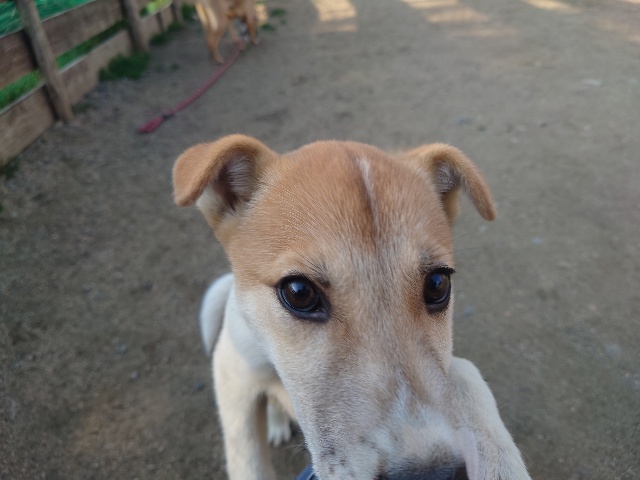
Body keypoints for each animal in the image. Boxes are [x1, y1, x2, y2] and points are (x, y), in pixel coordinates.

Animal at [173, 135, 531, 480]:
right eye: (299, 293)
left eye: (437, 284)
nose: (431, 477)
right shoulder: (231, 372)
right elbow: (247, 459)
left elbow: (464, 373)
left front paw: (499, 459)